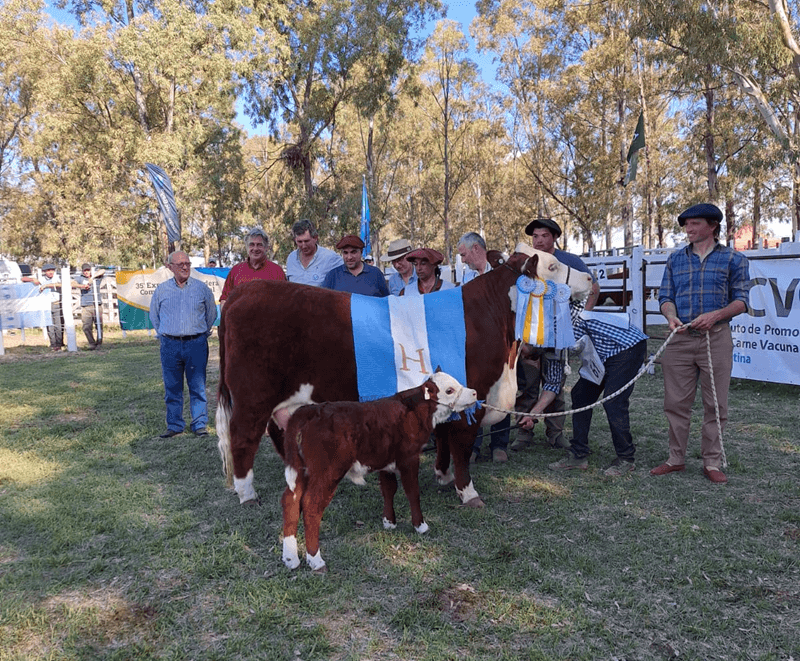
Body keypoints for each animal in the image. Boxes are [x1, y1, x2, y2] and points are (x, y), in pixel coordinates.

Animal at [216, 242, 592, 506]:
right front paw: (468, 492)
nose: (590, 277)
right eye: (553, 265)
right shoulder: (470, 396)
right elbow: (461, 446)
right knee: (243, 437)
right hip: (252, 396)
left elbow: (443, 437)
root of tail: (244, 291)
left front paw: (442, 476)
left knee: (277, 433)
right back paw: (247, 494)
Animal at [272, 372, 478, 572]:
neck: (414, 411)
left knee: (290, 501)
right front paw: (420, 526)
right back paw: (316, 561)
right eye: (449, 390)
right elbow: (412, 492)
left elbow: (388, 489)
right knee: (311, 506)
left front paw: (389, 522)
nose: (475, 393)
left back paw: (290, 559)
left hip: (300, 470)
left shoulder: (386, 462)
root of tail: (308, 411)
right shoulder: (409, 458)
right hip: (327, 472)